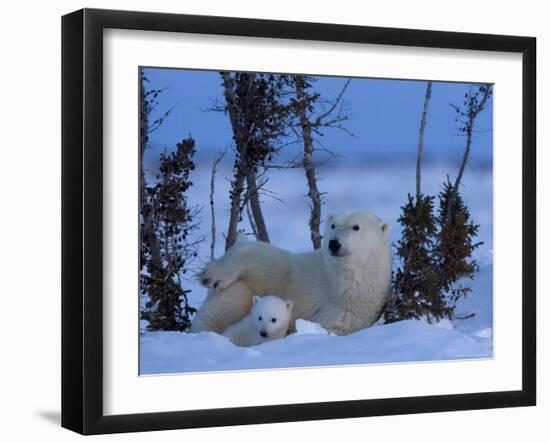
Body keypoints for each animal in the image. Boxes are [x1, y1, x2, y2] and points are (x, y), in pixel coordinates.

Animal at [192, 212, 394, 336]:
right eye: (333, 225)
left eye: (356, 227)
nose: (334, 243)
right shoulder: (300, 273)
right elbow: (268, 260)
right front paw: (212, 275)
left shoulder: (349, 312)